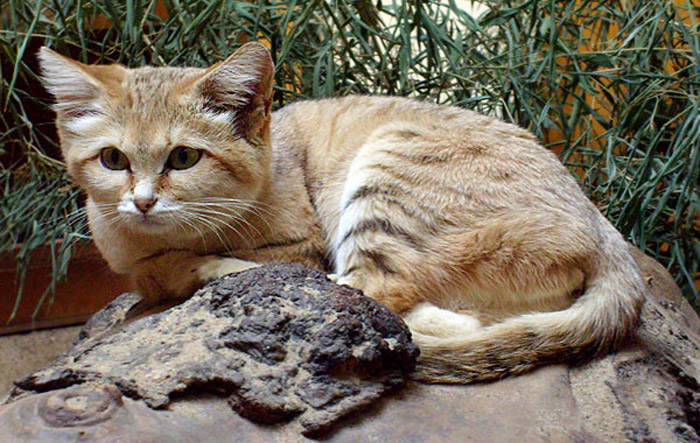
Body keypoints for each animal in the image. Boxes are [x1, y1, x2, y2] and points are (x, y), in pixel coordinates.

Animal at [38, 41, 644, 384]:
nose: (141, 201)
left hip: (389, 174)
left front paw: (192, 267)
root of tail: (606, 232)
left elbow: (164, 271)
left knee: (364, 296)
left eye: (184, 157)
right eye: (112, 159)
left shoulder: (303, 243)